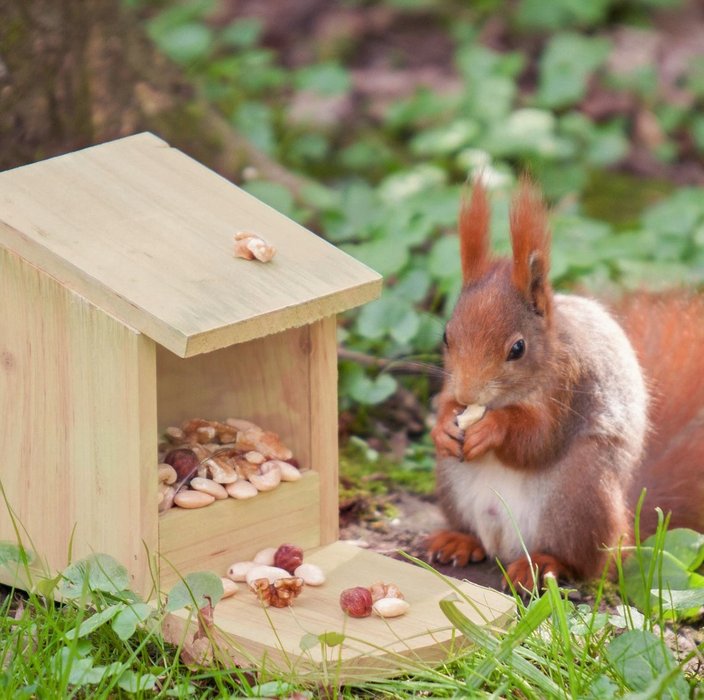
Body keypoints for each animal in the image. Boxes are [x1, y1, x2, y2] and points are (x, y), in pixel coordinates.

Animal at [426, 178, 704, 588]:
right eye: (446, 336)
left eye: (518, 348)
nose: (468, 394)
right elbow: (445, 402)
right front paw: (444, 424)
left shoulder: (570, 385)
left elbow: (538, 439)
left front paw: (493, 427)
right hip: (451, 481)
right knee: (475, 533)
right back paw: (458, 540)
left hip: (580, 494)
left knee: (584, 563)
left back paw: (542, 564)